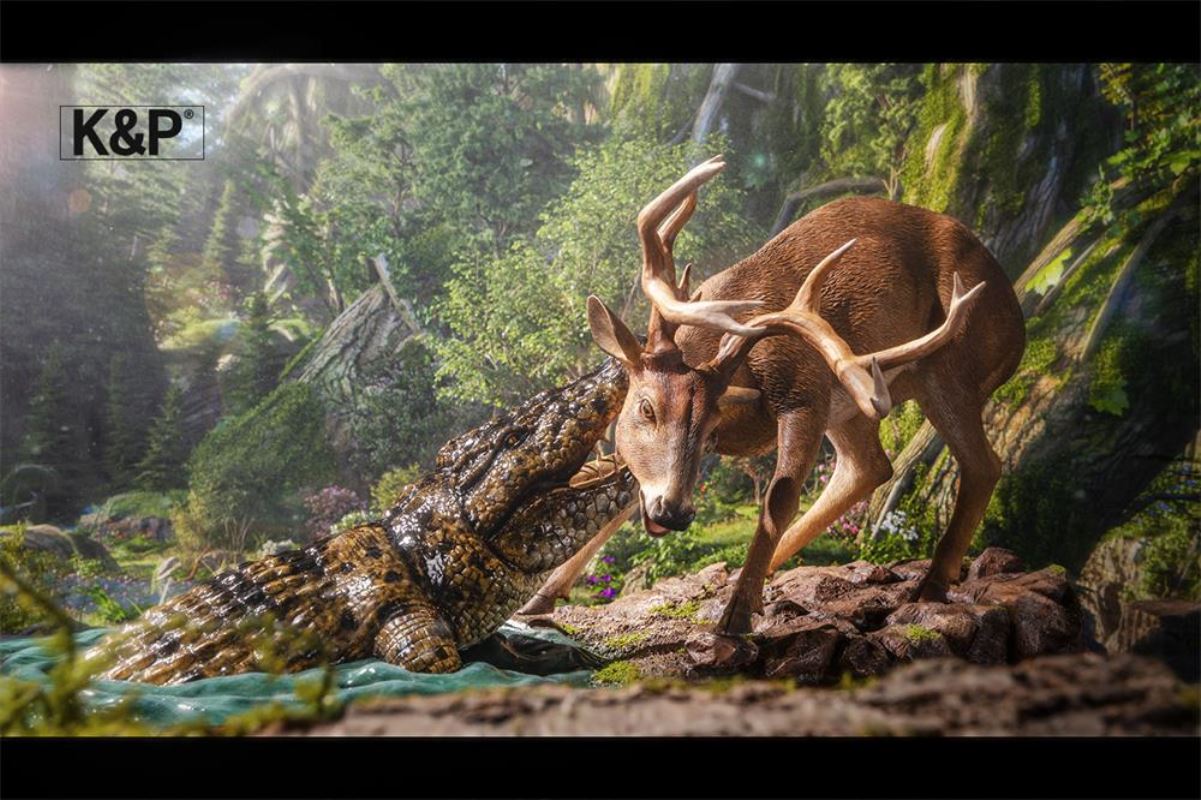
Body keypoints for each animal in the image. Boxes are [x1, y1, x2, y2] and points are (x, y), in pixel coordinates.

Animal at [519, 155, 1026, 635]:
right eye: (646, 408)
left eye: (712, 422)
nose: (675, 511)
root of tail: (1017, 322)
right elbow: (612, 486)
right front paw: (536, 601)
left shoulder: (804, 396)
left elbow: (777, 500)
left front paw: (738, 616)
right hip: (855, 406)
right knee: (871, 465)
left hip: (950, 372)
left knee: (981, 464)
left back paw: (930, 584)